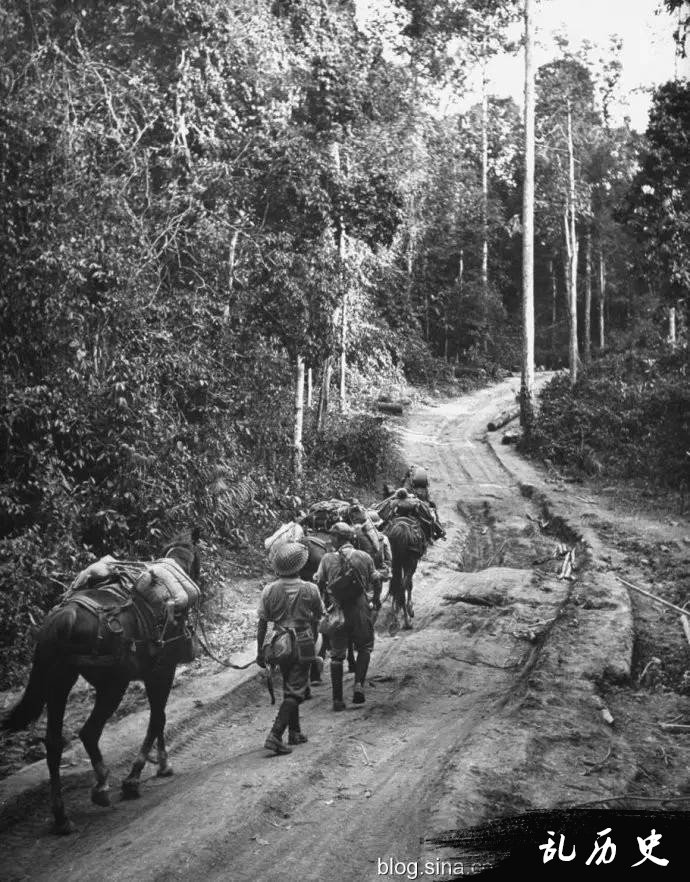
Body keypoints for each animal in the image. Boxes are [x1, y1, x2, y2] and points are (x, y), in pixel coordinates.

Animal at [1, 528, 202, 832]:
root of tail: (67, 615)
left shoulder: (155, 674)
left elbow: (159, 717)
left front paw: (161, 764)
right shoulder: (162, 672)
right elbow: (158, 718)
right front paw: (137, 776)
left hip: (60, 680)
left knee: (54, 743)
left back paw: (61, 816)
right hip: (113, 686)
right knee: (89, 732)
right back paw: (102, 786)